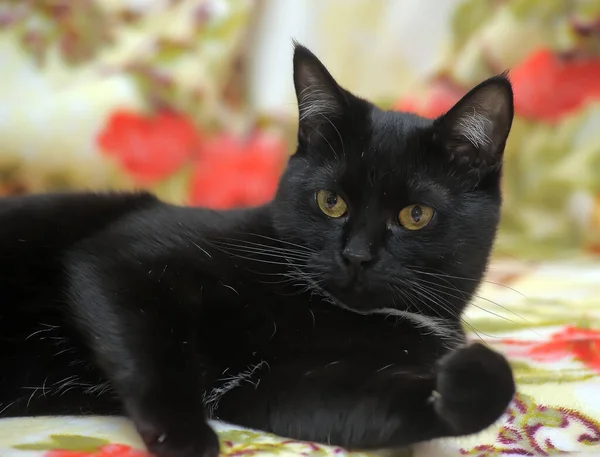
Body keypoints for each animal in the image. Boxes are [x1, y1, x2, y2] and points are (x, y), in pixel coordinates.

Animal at [0, 43, 516, 456]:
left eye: (415, 215)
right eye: (331, 202)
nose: (356, 255)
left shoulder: (288, 386)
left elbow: (376, 410)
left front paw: (466, 382)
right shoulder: (122, 259)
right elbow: (153, 350)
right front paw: (186, 436)